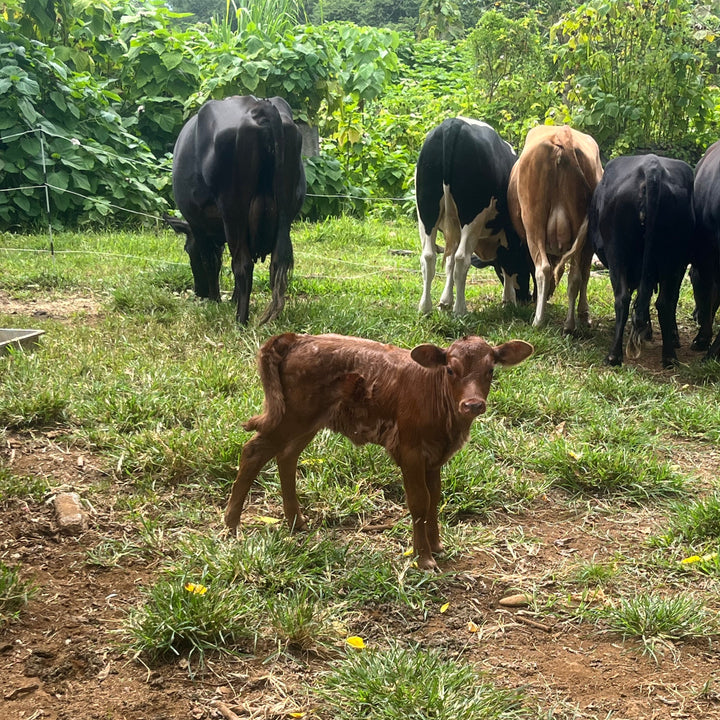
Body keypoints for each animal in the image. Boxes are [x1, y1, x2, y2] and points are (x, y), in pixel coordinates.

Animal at [165, 95, 306, 325]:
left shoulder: (198, 225)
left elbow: (211, 261)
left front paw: (215, 299)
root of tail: (260, 106)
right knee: (276, 263)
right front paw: (230, 298)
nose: (199, 292)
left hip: (233, 211)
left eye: (187, 249)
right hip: (286, 214)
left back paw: (240, 321)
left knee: (243, 264)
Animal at [224, 332, 533, 570]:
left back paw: (296, 521)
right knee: (253, 452)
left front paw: (436, 545)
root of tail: (298, 338)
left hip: (308, 422)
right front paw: (423, 558)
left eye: (491, 371)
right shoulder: (410, 451)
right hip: (292, 417)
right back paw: (231, 525)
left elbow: (435, 498)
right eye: (450, 370)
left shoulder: (435, 458)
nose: (473, 404)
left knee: (287, 456)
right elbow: (419, 501)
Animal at [415, 117, 534, 315]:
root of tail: (453, 124)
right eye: (526, 263)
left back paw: (425, 307)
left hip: (426, 211)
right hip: (472, 217)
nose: (526, 297)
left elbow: (448, 262)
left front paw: (445, 301)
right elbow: (508, 263)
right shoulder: (509, 234)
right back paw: (460, 310)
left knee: (429, 256)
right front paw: (508, 299)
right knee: (461, 258)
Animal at [508, 125, 603, 332]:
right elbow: (584, 274)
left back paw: (538, 320)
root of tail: (562, 133)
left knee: (543, 268)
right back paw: (569, 325)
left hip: (533, 222)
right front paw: (584, 314)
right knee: (575, 276)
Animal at [588, 154, 695, 368]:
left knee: (624, 298)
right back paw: (668, 355)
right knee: (664, 301)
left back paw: (614, 355)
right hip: (671, 258)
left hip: (617, 253)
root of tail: (651, 165)